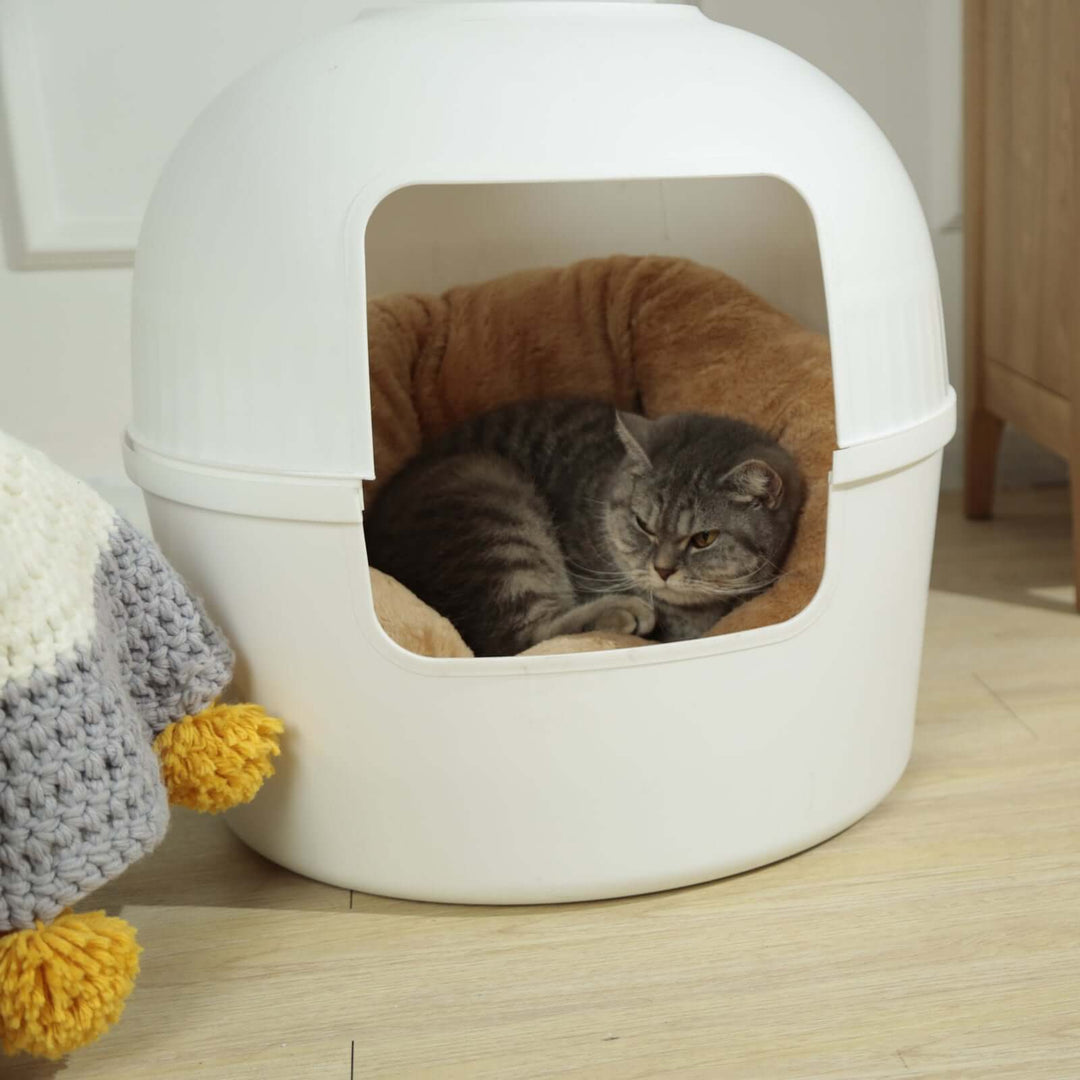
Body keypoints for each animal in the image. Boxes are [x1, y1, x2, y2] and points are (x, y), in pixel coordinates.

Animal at [362, 401, 803, 656]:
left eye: (703, 539)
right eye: (643, 524)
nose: (662, 569)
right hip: (491, 499)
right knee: (516, 640)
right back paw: (622, 611)